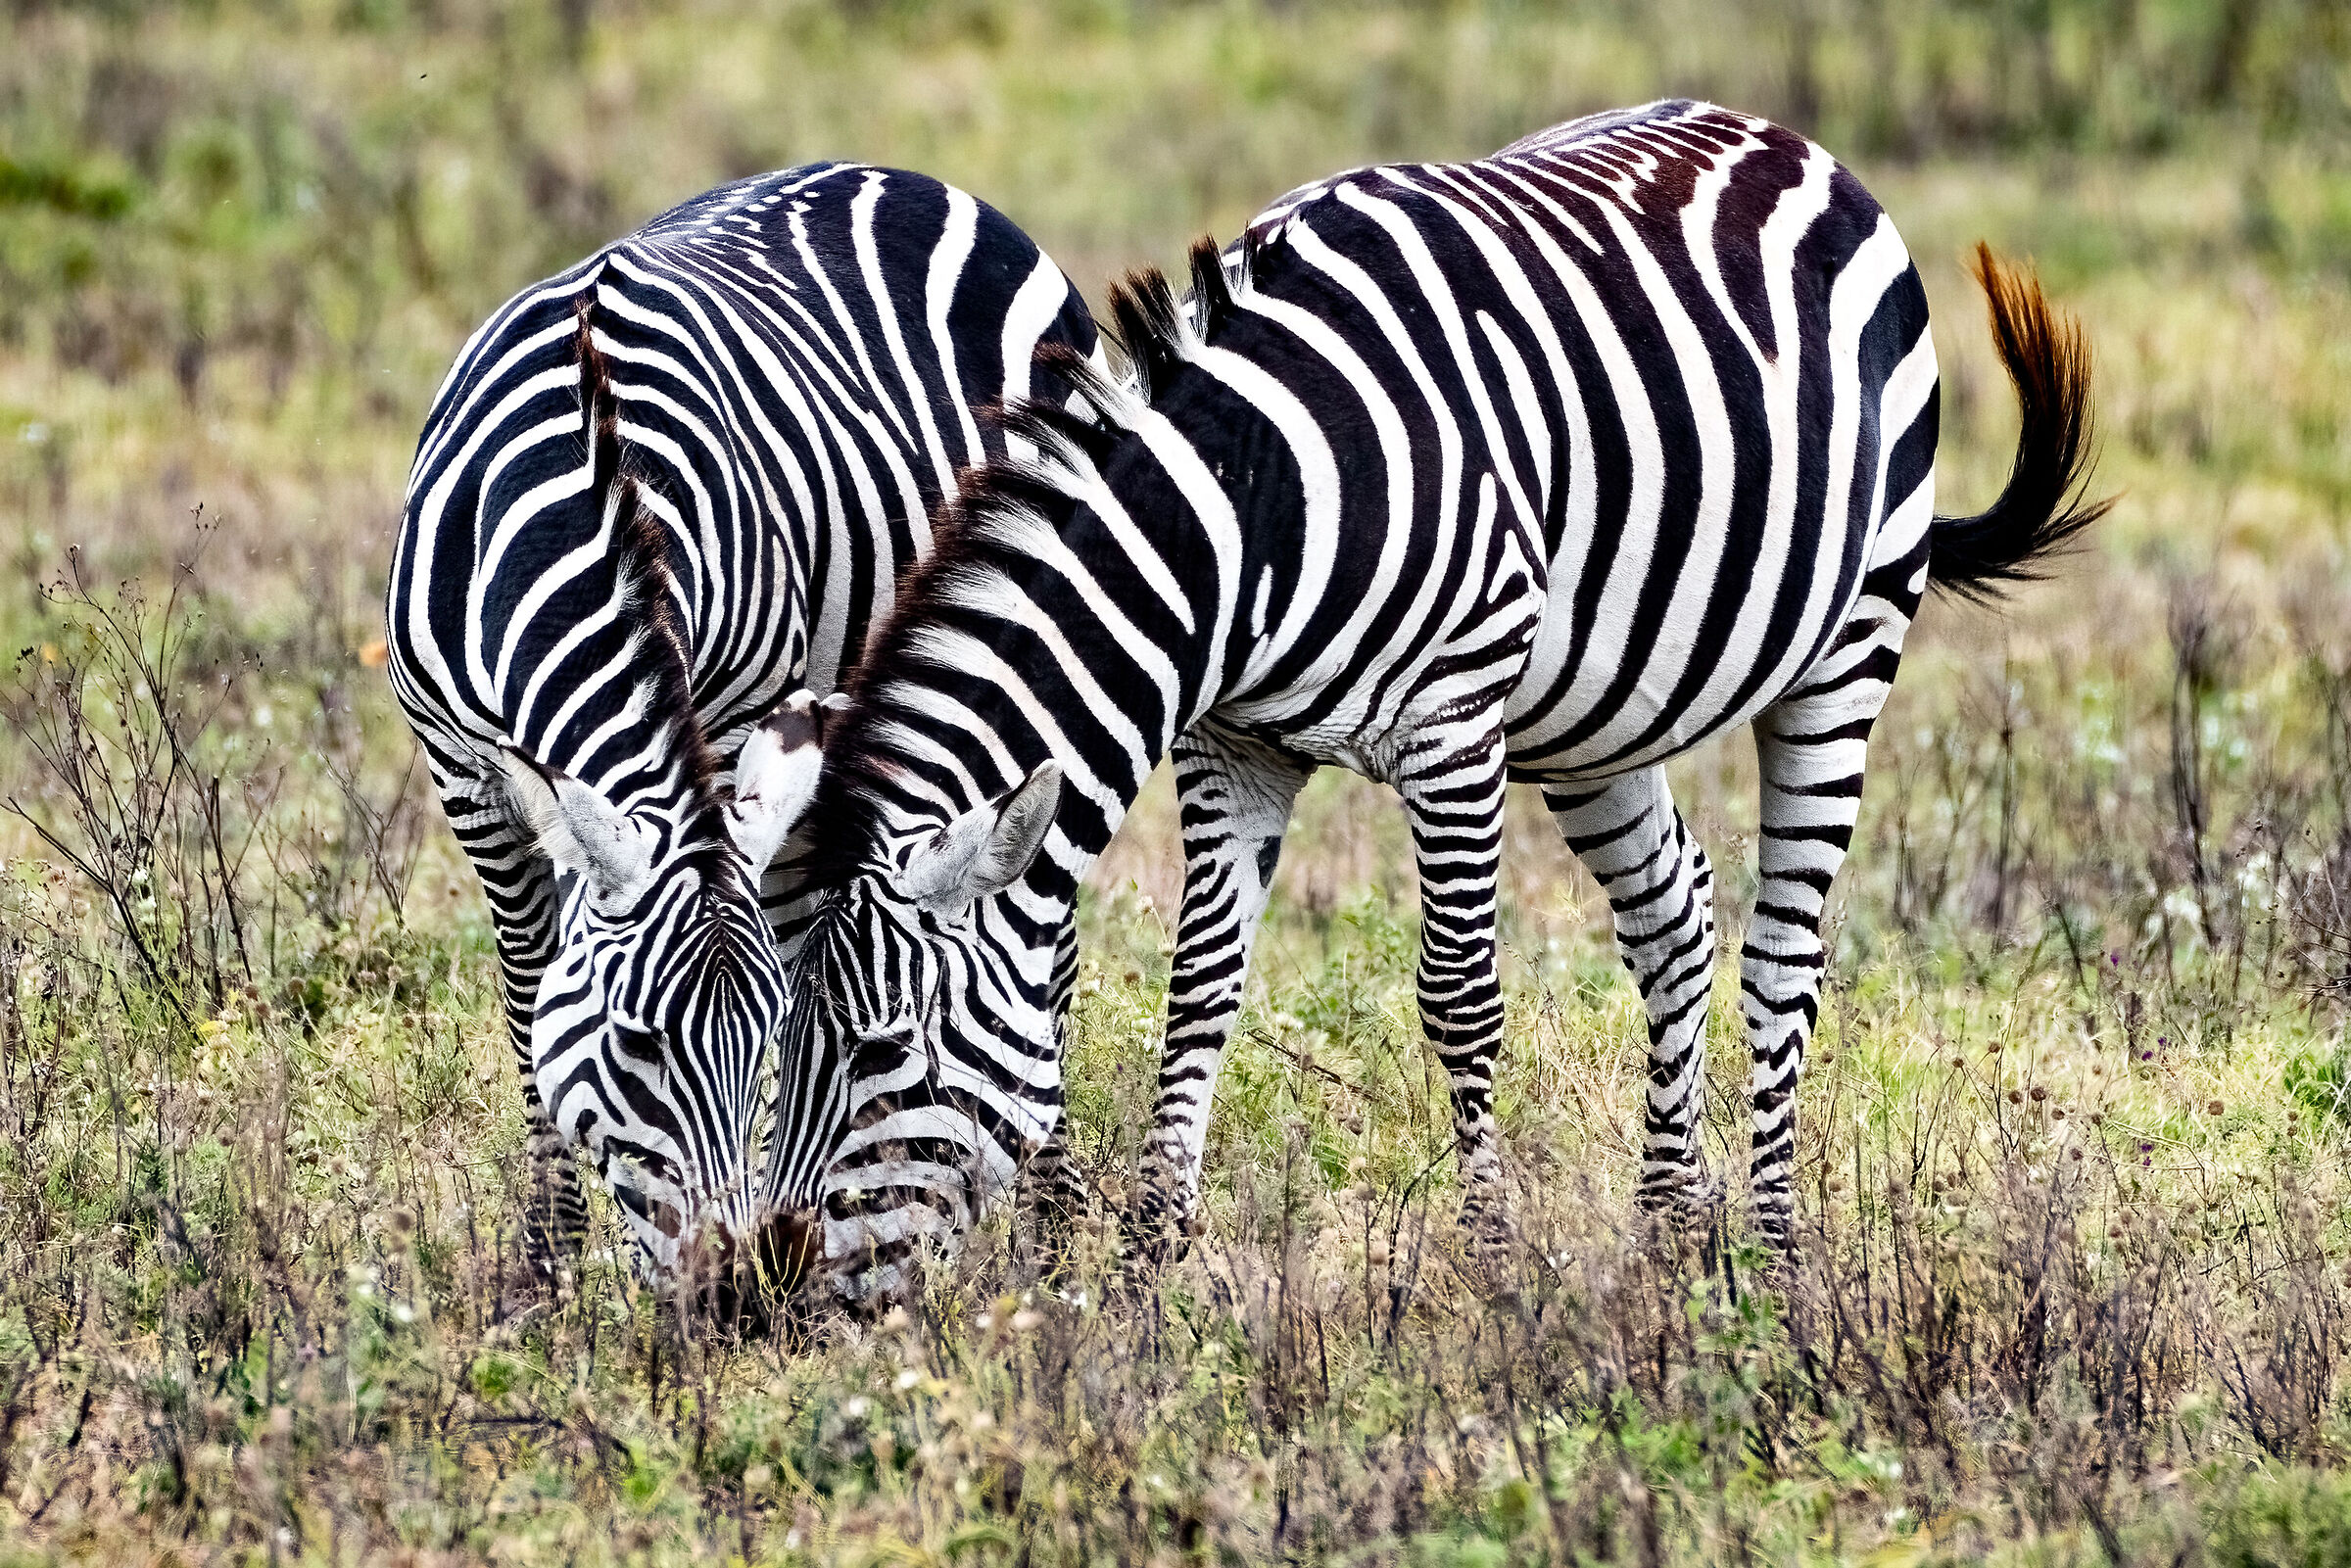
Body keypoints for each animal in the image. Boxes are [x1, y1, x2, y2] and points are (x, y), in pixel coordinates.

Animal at [383, 162, 1098, 1293]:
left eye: (760, 1042)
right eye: (635, 1044)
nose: (727, 1289)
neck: (579, 489)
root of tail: (902, 174)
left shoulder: (728, 728)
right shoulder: (466, 777)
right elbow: (527, 994)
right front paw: (545, 1268)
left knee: (1038, 944)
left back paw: (1057, 1231)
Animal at [763, 101, 2105, 1303]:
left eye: (882, 1051)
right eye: (782, 1041)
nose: (774, 1286)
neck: (1255, 507)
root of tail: (1786, 137)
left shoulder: (1452, 731)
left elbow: (1459, 999)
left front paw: (1491, 1263)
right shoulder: (1233, 746)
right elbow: (1201, 985)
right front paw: (1148, 1266)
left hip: (1851, 636)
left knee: (1786, 954)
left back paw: (1772, 1260)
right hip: (1593, 711)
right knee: (1675, 915)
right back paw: (1666, 1235)